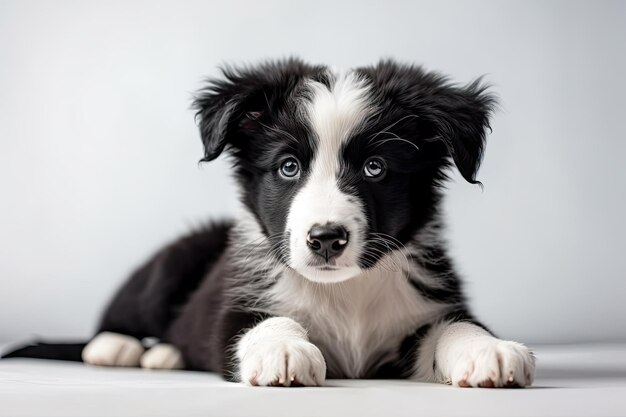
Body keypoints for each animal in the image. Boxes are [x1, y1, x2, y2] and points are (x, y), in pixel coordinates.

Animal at [3, 57, 532, 386]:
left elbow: (453, 327)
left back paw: (165, 354)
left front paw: (489, 350)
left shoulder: (421, 315)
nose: (325, 238)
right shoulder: (234, 308)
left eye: (375, 168)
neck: (346, 293)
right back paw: (118, 346)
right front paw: (283, 350)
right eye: (288, 167)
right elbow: (263, 321)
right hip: (177, 257)